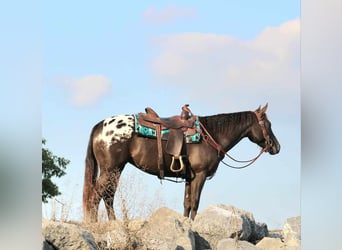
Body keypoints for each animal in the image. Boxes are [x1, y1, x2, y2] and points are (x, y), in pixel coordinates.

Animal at [83, 103, 280, 223]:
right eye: (268, 124)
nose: (276, 147)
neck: (211, 135)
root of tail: (100, 126)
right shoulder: (199, 175)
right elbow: (195, 202)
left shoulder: (189, 177)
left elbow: (186, 203)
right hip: (110, 169)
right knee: (96, 196)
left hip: (115, 170)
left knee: (108, 195)